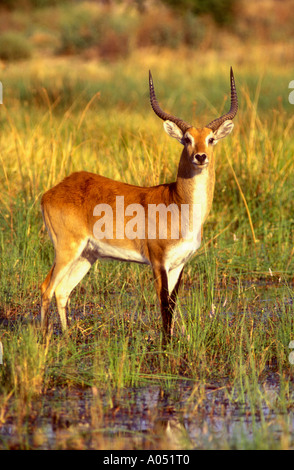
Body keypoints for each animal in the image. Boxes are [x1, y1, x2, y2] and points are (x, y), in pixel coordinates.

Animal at [41, 67, 238, 342]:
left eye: (210, 139)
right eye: (187, 139)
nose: (200, 157)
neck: (177, 204)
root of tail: (53, 190)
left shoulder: (179, 264)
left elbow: (173, 304)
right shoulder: (158, 262)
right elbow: (164, 305)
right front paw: (165, 346)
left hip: (86, 255)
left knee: (62, 291)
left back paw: (69, 339)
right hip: (66, 249)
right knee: (46, 288)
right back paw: (42, 339)